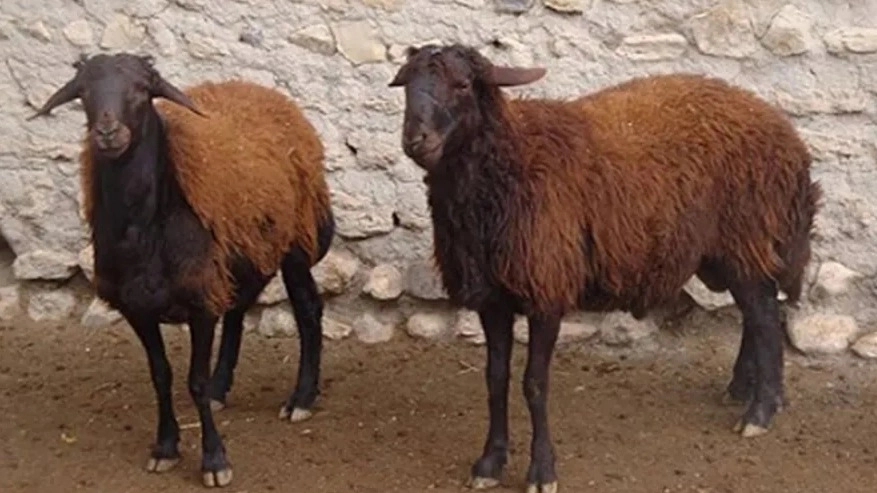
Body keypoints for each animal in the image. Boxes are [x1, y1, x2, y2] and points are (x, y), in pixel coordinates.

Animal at [29, 53, 335, 488]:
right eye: (83, 91)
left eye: (143, 89)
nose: (107, 132)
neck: (144, 228)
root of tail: (261, 90)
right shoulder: (137, 308)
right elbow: (161, 376)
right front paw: (166, 447)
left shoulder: (199, 304)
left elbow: (195, 380)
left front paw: (214, 460)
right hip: (242, 252)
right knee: (238, 310)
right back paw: (224, 388)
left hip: (293, 244)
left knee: (308, 311)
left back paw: (301, 399)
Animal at [388, 43, 821, 493]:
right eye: (405, 84)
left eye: (462, 85)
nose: (415, 140)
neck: (511, 162)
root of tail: (785, 132)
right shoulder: (493, 299)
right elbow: (495, 380)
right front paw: (490, 462)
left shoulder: (547, 290)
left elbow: (534, 385)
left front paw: (542, 471)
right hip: (731, 251)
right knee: (757, 315)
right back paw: (743, 389)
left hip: (747, 238)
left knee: (765, 318)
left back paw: (761, 411)